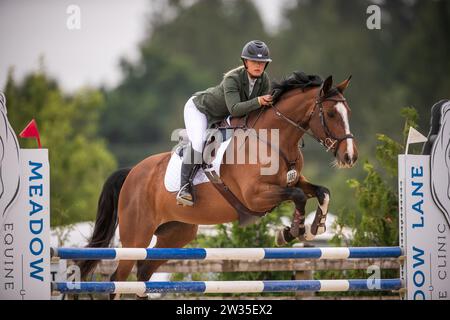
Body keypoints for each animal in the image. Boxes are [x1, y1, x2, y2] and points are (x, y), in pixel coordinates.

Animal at [78, 72, 358, 298]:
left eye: (349, 113)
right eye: (331, 114)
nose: (350, 157)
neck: (274, 141)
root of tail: (132, 173)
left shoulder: (292, 180)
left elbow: (321, 191)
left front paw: (316, 225)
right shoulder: (255, 197)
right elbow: (298, 195)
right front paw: (292, 231)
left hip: (176, 234)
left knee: (144, 274)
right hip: (137, 236)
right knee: (118, 280)